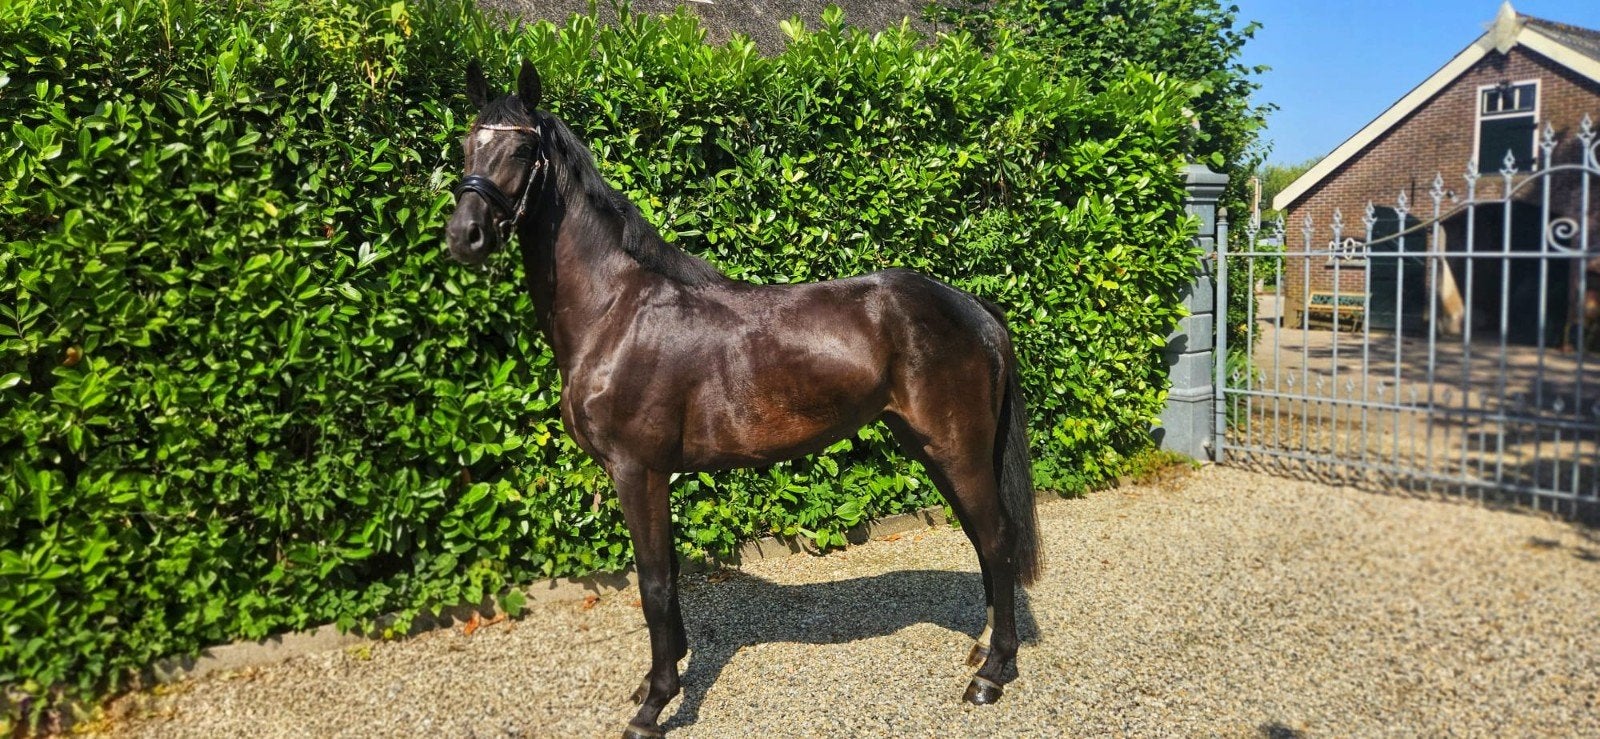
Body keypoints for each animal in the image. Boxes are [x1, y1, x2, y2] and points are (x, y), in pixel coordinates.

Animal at [444, 60, 1043, 739]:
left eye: (522, 149)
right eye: (467, 144)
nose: (464, 236)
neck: (616, 311)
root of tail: (973, 308)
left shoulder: (636, 470)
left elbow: (653, 584)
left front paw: (655, 704)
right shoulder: (654, 476)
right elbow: (668, 577)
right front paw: (660, 677)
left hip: (955, 448)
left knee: (997, 538)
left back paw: (991, 675)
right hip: (931, 447)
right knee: (982, 539)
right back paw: (984, 649)